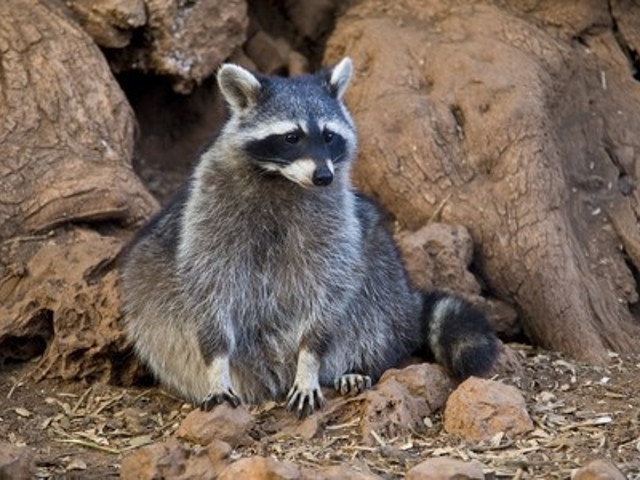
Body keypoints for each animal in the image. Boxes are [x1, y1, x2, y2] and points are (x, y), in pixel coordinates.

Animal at [120, 58, 498, 416]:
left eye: (329, 136)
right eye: (292, 137)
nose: (323, 176)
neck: (282, 179)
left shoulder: (336, 219)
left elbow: (330, 286)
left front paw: (309, 362)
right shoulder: (209, 208)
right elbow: (209, 283)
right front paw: (217, 364)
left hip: (381, 260)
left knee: (372, 304)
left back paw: (358, 365)